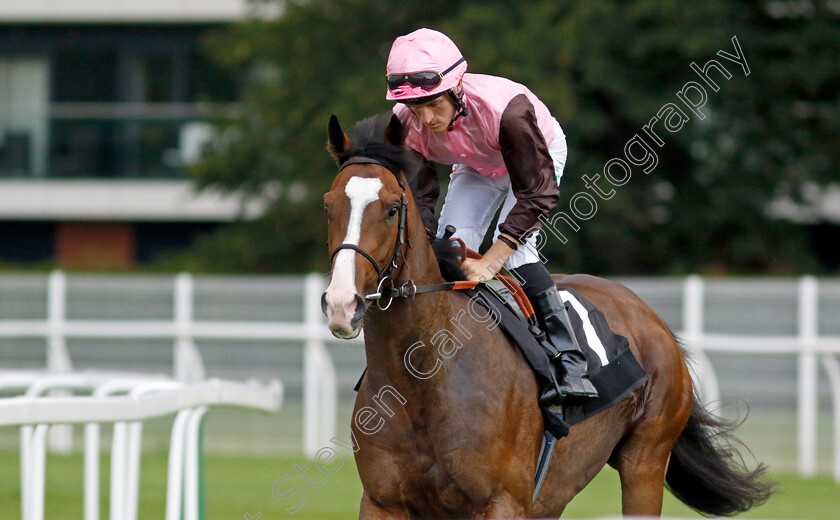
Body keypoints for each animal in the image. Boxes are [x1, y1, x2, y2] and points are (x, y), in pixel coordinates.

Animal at [322, 111, 776, 516]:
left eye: (391, 208)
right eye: (329, 205)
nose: (343, 303)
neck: (423, 375)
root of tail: (652, 318)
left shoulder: (503, 502)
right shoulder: (382, 502)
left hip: (646, 460)